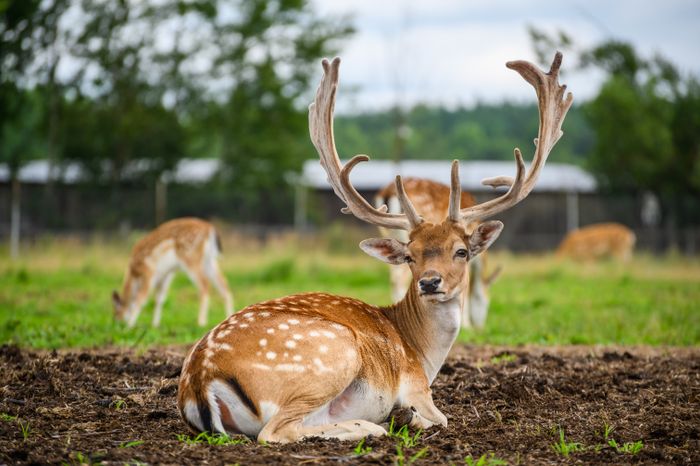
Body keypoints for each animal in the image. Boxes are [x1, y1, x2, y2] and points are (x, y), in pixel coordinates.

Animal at [375, 179, 502, 329]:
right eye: (485, 301)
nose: (480, 328)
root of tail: (387, 192)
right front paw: (466, 325)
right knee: (400, 279)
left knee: (394, 278)